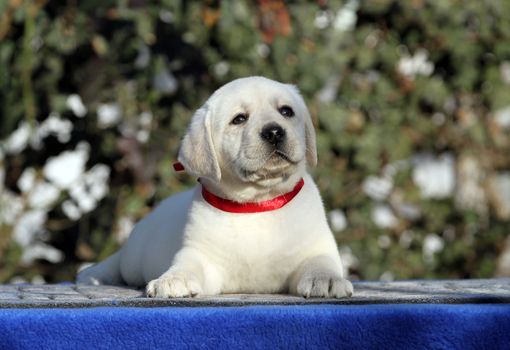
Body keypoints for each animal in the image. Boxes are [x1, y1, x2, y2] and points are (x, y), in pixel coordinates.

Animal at [76, 76, 354, 298]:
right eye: (239, 119)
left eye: (286, 111)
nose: (274, 132)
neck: (257, 203)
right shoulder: (200, 254)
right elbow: (187, 265)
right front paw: (173, 280)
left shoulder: (316, 247)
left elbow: (320, 262)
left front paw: (327, 280)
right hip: (135, 256)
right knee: (119, 262)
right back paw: (93, 275)